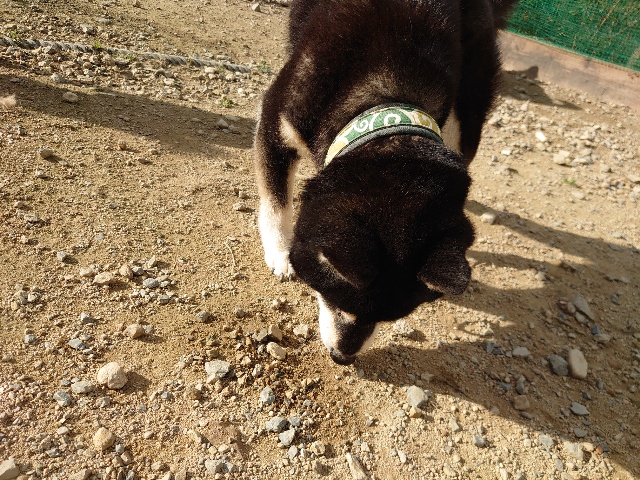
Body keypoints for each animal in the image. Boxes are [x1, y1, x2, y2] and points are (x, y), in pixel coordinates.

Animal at [254, 0, 518, 365]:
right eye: (333, 300)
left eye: (388, 319)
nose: (342, 358)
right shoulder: (279, 120)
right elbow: (276, 200)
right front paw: (280, 252)